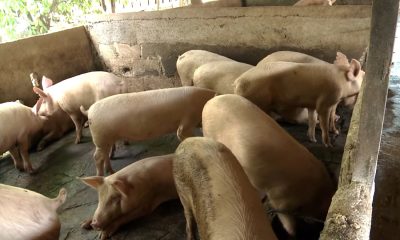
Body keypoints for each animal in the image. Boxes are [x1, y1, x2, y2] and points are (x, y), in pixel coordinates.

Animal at [202, 94, 336, 236]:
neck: (314, 193)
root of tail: (210, 102)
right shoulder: (280, 200)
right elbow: (288, 224)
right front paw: (292, 233)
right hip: (208, 132)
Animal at [236, 52, 364, 146]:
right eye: (363, 76)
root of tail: (238, 82)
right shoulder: (326, 101)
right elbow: (324, 121)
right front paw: (329, 144)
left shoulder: (316, 104)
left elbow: (314, 119)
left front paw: (313, 139)